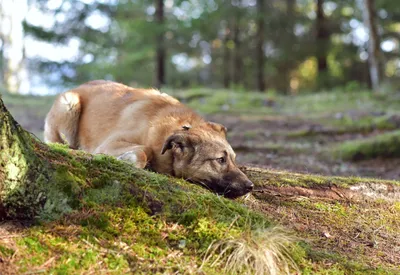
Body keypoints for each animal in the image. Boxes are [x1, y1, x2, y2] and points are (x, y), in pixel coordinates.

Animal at [44, 80, 253, 198]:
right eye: (220, 159)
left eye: (234, 159)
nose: (250, 186)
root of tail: (79, 86)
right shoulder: (110, 143)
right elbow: (144, 150)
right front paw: (130, 160)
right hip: (69, 105)